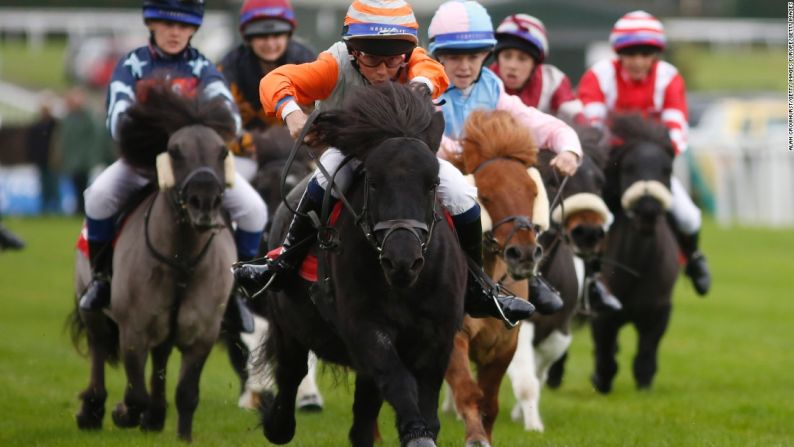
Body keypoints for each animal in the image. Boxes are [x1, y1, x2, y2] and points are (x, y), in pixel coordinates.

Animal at [260, 82, 464, 446]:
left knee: (362, 420)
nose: (402, 260)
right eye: (374, 181)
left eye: (433, 184)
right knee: (290, 383)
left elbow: (425, 400)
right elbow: (399, 382)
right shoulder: (366, 328)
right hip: (289, 331)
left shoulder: (438, 335)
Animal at [592, 114, 676, 392]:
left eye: (667, 169)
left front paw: (644, 386)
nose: (647, 209)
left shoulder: (658, 311)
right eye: (628, 167)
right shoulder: (603, 314)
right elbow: (605, 356)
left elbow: (646, 356)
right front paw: (601, 380)